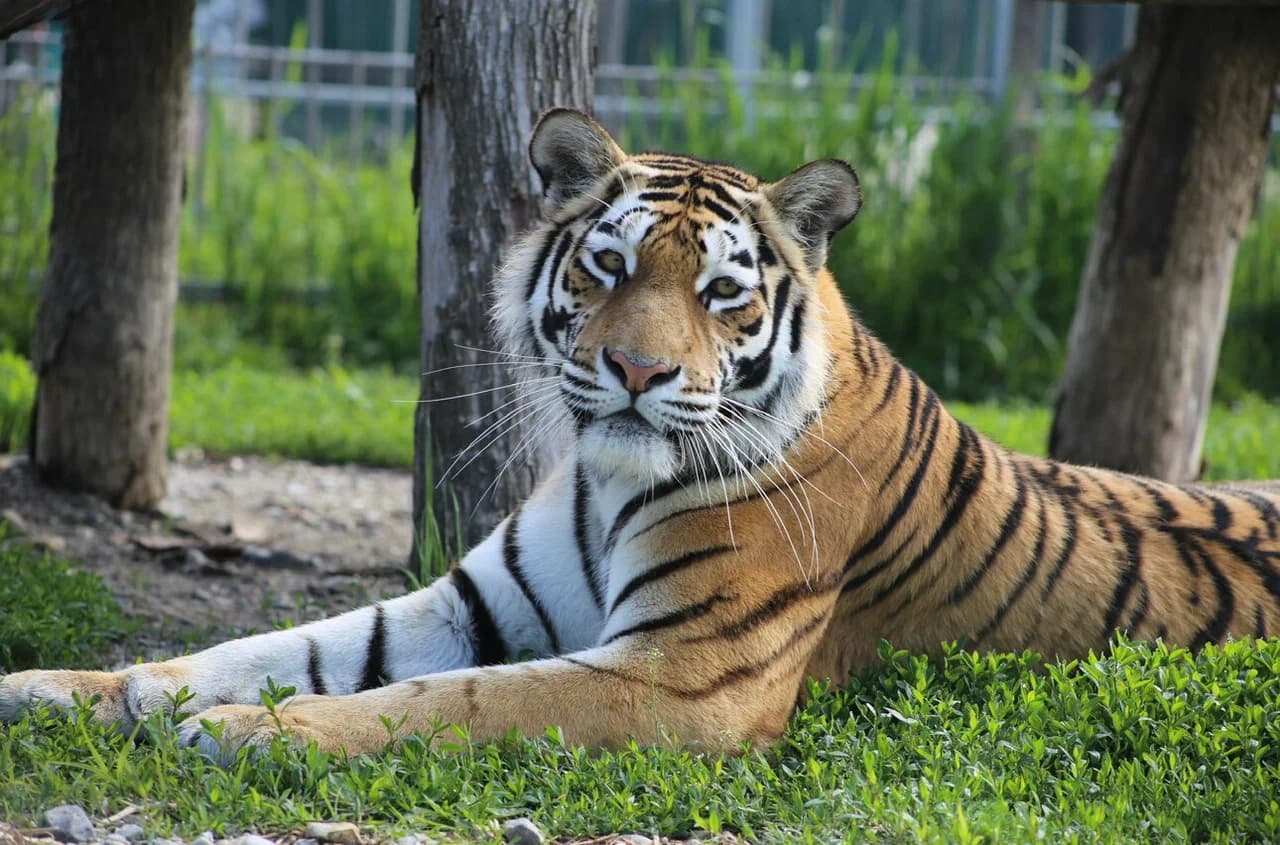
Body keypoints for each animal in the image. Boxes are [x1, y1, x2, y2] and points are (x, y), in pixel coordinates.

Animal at [3, 108, 1279, 761]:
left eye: (719, 294)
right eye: (609, 266)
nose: (635, 370)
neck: (612, 476)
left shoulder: (689, 673)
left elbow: (460, 700)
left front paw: (249, 734)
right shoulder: (472, 603)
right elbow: (270, 644)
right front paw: (78, 688)